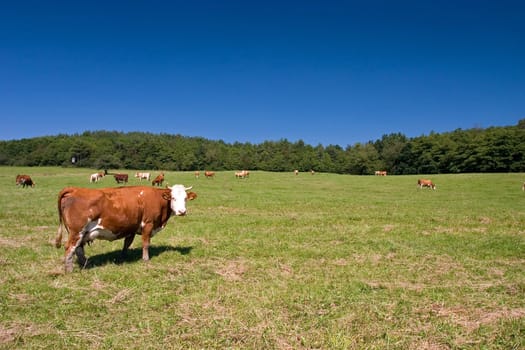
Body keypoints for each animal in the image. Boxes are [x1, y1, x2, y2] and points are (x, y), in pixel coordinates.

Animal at [54, 185, 196, 272]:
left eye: (185, 198)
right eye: (173, 198)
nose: (182, 212)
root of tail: (75, 189)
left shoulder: (131, 228)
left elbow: (127, 244)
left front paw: (123, 257)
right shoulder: (148, 224)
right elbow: (146, 244)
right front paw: (145, 259)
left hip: (80, 233)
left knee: (78, 249)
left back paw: (85, 264)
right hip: (77, 232)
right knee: (70, 249)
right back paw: (70, 270)